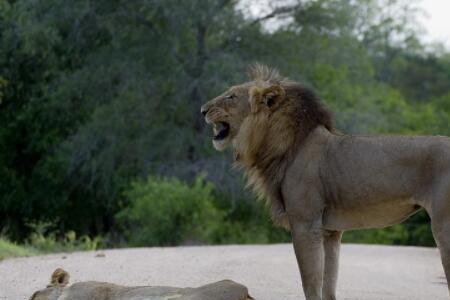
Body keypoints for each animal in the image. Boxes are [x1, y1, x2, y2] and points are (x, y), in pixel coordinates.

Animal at [201, 65, 450, 300]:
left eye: (231, 96)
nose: (202, 110)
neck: (280, 145)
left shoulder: (306, 224)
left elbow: (310, 284)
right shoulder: (330, 231)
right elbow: (328, 283)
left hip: (443, 225)